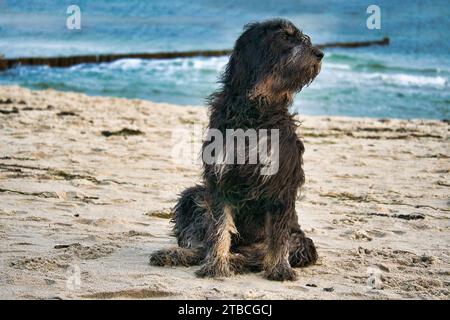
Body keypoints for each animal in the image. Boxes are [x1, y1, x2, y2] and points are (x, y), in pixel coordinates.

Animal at [151, 19, 324, 280]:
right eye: (285, 37)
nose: (319, 53)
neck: (255, 111)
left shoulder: (281, 182)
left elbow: (278, 236)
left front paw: (279, 268)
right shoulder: (220, 179)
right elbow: (220, 228)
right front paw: (216, 265)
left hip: (301, 241)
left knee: (260, 252)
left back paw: (239, 260)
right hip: (194, 195)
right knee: (204, 245)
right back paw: (178, 254)